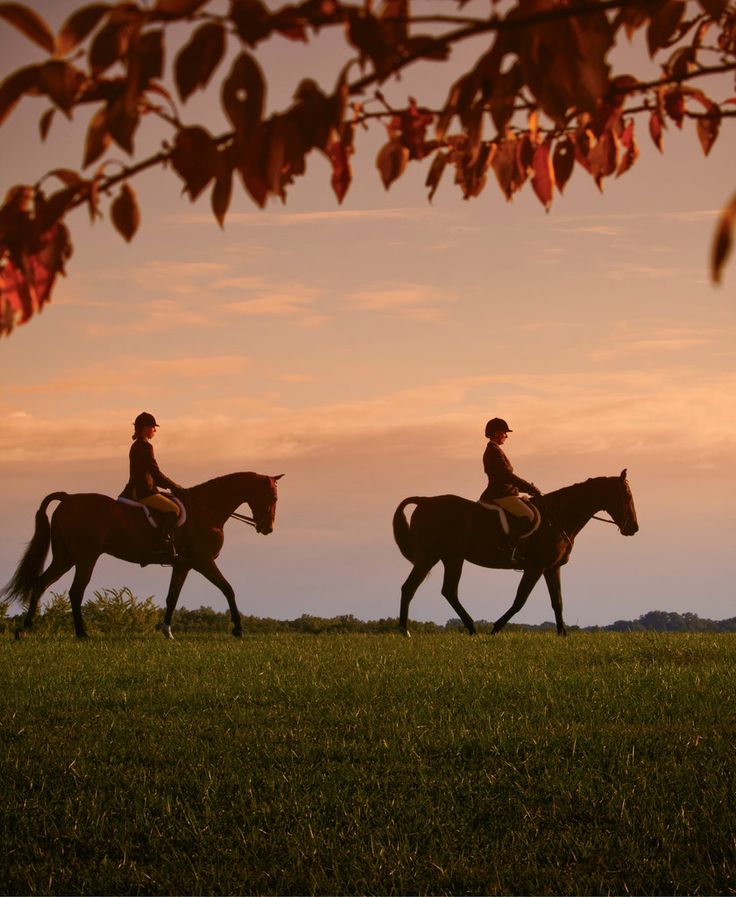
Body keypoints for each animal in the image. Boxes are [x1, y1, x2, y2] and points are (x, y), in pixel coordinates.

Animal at [1, 472, 284, 640]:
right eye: (271, 496)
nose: (268, 528)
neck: (206, 510)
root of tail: (69, 498)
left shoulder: (183, 565)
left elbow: (172, 597)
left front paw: (167, 632)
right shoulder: (204, 561)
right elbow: (228, 589)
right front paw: (237, 628)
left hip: (65, 557)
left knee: (41, 583)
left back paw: (24, 629)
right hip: (85, 557)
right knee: (75, 591)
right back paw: (81, 634)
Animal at [392, 468, 640, 636]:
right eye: (626, 495)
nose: (633, 528)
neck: (557, 516)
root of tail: (425, 501)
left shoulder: (551, 569)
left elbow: (558, 601)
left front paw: (563, 634)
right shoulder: (534, 567)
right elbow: (520, 600)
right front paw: (496, 628)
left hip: (451, 558)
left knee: (446, 591)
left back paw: (470, 628)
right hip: (429, 557)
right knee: (410, 588)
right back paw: (405, 631)